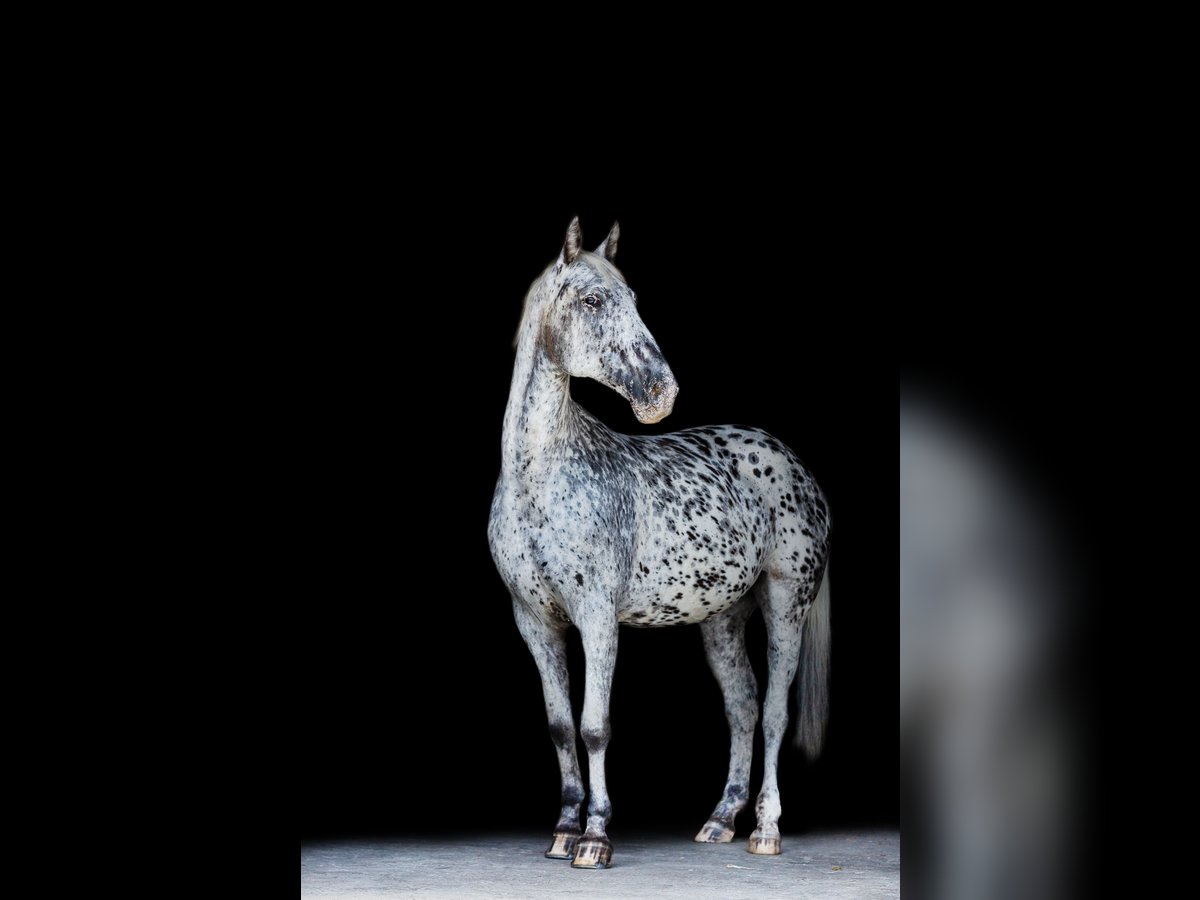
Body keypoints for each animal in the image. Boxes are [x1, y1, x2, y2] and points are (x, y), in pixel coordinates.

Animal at [482, 218, 830, 873]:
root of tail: (791, 462)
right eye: (594, 301)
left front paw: (595, 838)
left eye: (635, 299)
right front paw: (563, 830)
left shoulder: (597, 617)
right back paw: (720, 820)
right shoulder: (534, 621)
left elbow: (595, 726)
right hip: (721, 619)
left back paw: (765, 829)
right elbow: (560, 727)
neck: (539, 478)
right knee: (743, 707)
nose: (661, 393)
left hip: (785, 604)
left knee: (773, 712)